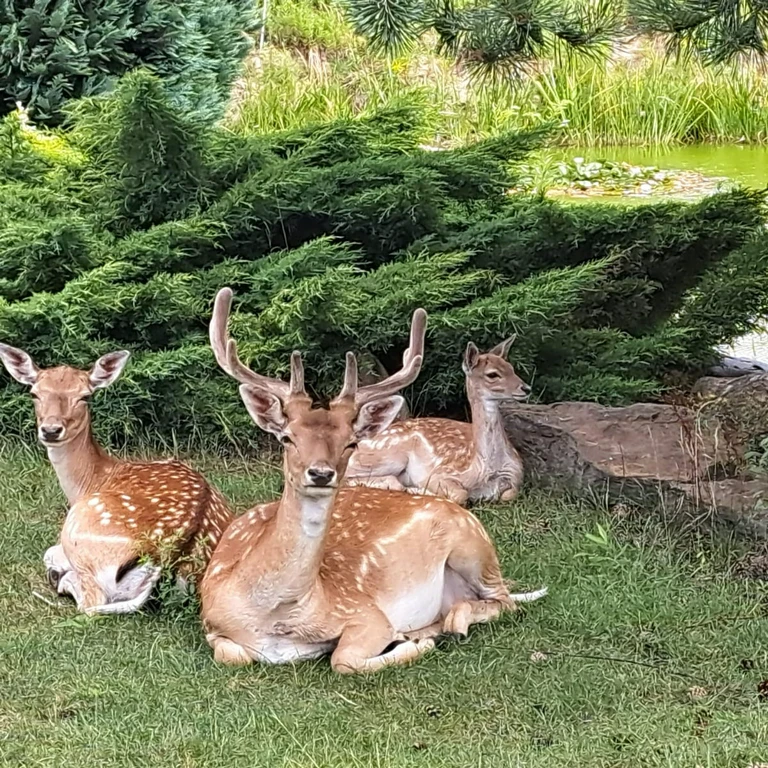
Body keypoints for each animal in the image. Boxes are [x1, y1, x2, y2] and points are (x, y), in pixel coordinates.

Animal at [0, 344, 231, 616]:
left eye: (84, 396)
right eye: (35, 393)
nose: (51, 430)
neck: (94, 479)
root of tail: (170, 555)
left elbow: (50, 553)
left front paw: (57, 571)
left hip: (80, 528)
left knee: (92, 602)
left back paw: (60, 579)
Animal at [346, 340, 532, 508]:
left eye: (512, 368)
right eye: (492, 374)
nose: (526, 388)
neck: (485, 466)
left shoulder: (515, 477)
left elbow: (509, 494)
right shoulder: (441, 473)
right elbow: (461, 494)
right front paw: (418, 490)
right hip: (386, 454)